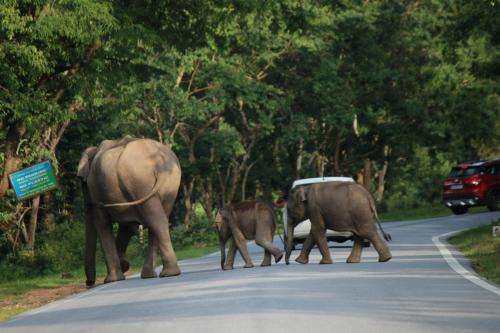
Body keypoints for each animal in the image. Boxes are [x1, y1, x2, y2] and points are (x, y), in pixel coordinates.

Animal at [77, 136, 181, 286]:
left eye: (82, 181)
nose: (88, 282)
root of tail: (159, 165)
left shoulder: (95, 190)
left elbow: (102, 224)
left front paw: (112, 279)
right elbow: (128, 227)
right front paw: (123, 265)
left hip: (139, 181)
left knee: (155, 219)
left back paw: (165, 274)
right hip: (169, 184)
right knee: (159, 219)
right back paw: (159, 274)